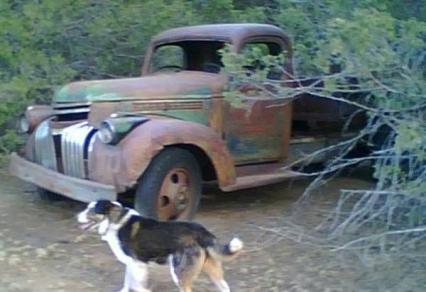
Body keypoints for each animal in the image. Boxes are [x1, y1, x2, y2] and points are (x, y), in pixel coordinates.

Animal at [77, 200, 243, 292]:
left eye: (90, 210)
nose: (76, 216)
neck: (114, 221)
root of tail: (200, 230)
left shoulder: (138, 264)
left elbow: (136, 285)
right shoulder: (131, 264)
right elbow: (127, 282)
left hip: (179, 273)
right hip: (212, 271)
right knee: (225, 287)